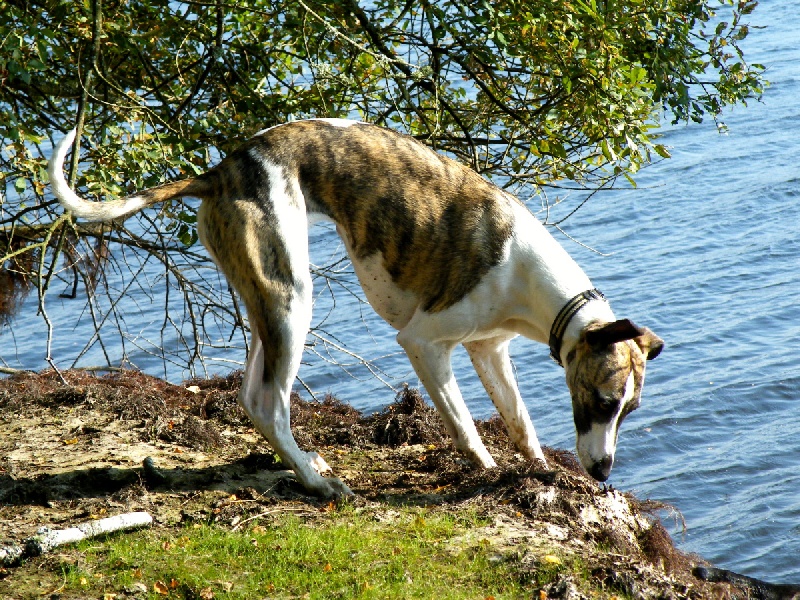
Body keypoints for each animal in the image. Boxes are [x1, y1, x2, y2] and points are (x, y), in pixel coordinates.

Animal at [48, 118, 664, 496]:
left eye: (629, 410)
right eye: (604, 401)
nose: (603, 473)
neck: (522, 265)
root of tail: (221, 170)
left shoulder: (490, 349)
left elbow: (521, 423)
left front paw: (536, 470)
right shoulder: (425, 344)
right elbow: (465, 426)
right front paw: (488, 474)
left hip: (267, 301)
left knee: (251, 397)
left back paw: (308, 465)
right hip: (291, 299)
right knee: (271, 402)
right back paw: (318, 482)